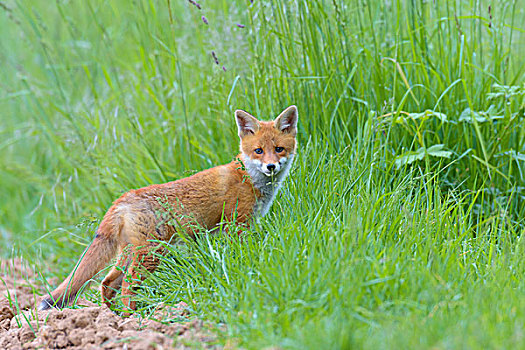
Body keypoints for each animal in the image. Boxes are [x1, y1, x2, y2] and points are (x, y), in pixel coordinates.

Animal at [39, 105, 296, 314]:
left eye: (279, 149)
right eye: (258, 151)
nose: (271, 166)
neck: (250, 179)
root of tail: (122, 199)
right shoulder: (238, 225)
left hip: (129, 252)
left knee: (107, 283)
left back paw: (113, 317)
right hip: (150, 253)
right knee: (127, 284)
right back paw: (133, 318)